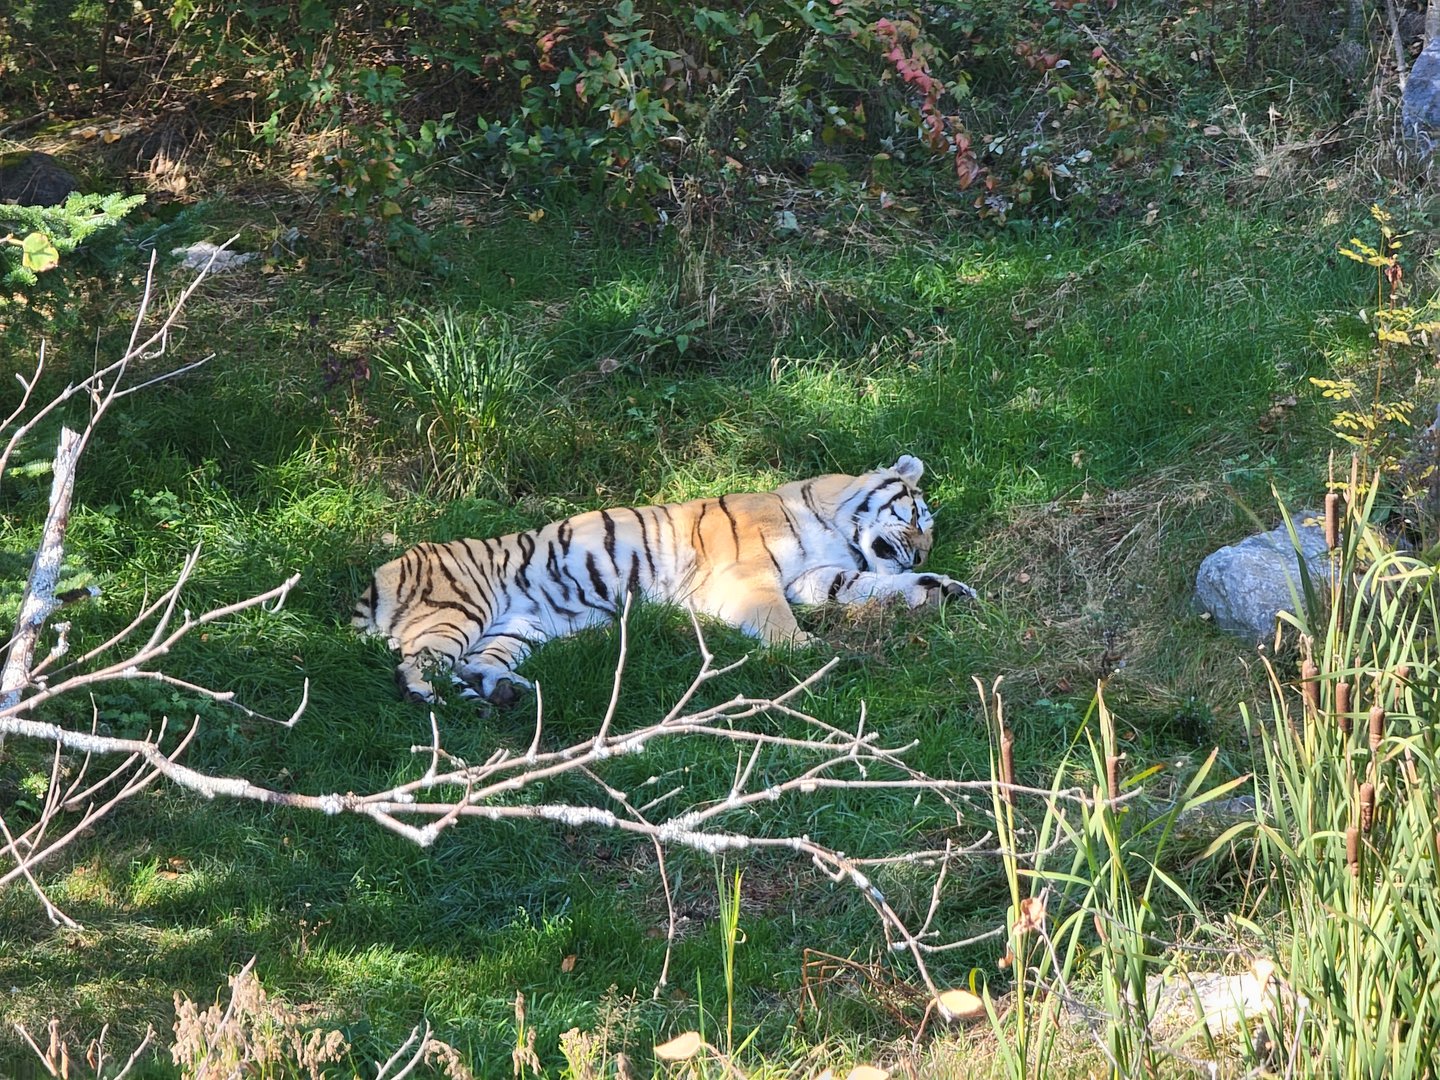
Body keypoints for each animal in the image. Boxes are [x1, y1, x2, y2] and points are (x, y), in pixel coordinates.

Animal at [353, 454, 976, 705]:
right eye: (916, 516)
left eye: (930, 534)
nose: (918, 552)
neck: (834, 527)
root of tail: (377, 577)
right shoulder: (749, 580)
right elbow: (780, 624)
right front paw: (813, 654)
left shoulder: (817, 578)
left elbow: (865, 587)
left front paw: (942, 588)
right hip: (457, 611)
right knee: (414, 662)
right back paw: (425, 694)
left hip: (519, 629)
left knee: (476, 664)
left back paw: (507, 692)